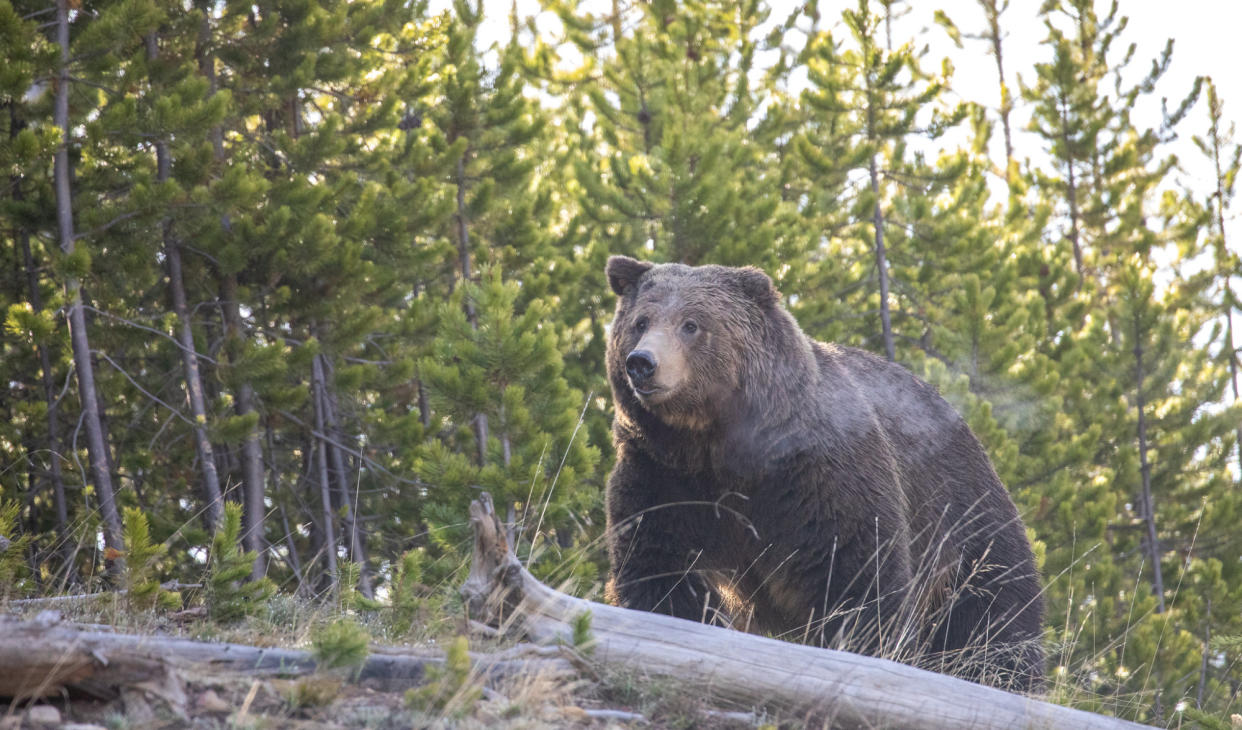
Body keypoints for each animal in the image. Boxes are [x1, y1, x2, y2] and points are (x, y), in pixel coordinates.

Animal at [606, 255, 1043, 690]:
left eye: (691, 324)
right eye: (641, 321)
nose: (642, 363)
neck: (717, 447)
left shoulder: (815, 474)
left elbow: (856, 572)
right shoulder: (665, 475)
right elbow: (659, 565)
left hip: (963, 513)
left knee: (994, 613)